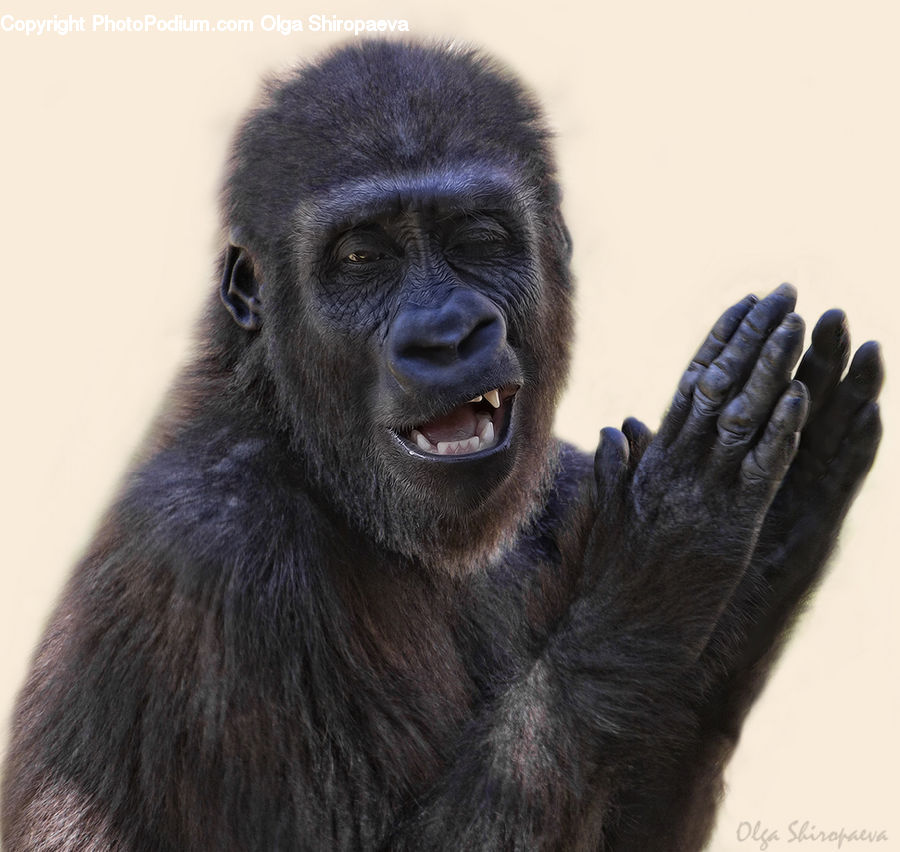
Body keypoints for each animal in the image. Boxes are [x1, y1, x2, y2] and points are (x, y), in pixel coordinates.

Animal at [1, 40, 883, 851]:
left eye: (476, 238)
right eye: (362, 256)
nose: (447, 334)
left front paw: (754, 573)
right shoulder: (216, 548)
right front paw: (660, 567)